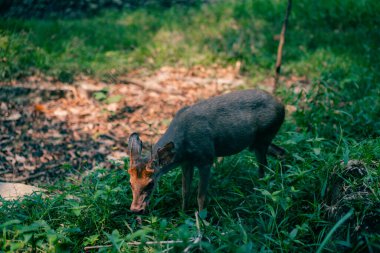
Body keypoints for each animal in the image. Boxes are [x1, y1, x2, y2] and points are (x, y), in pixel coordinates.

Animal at [127, 89, 284, 213]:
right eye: (130, 183)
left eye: (150, 183)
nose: (135, 209)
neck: (183, 147)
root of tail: (281, 105)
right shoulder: (186, 163)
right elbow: (185, 191)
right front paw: (183, 213)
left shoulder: (206, 159)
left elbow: (201, 196)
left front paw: (202, 222)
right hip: (256, 142)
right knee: (280, 152)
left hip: (263, 137)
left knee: (264, 168)